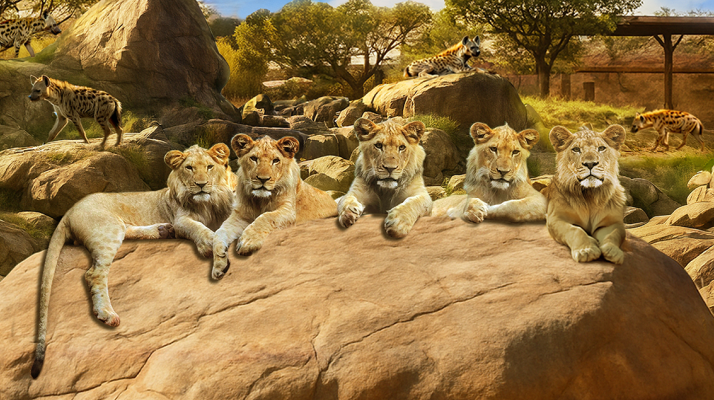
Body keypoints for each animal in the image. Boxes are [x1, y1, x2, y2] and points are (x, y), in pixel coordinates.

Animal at [32, 143, 237, 378]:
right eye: (189, 168)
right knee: (94, 273)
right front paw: (217, 258)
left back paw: (162, 230)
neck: (209, 203)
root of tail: (69, 211)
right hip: (108, 230)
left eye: (210, 167)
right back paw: (107, 313)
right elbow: (203, 230)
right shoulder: (181, 219)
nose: (201, 185)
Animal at [211, 134, 337, 280]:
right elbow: (219, 233)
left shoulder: (288, 211)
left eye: (276, 160)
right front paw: (219, 264)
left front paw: (248, 242)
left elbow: (265, 217)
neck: (260, 200)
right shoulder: (239, 216)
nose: (263, 179)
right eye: (254, 158)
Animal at [544, 125, 627, 265]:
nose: (590, 164)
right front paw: (586, 251)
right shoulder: (555, 219)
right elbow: (575, 230)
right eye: (576, 149)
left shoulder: (613, 222)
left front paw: (613, 252)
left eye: (601, 148)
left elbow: (614, 234)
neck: (590, 195)